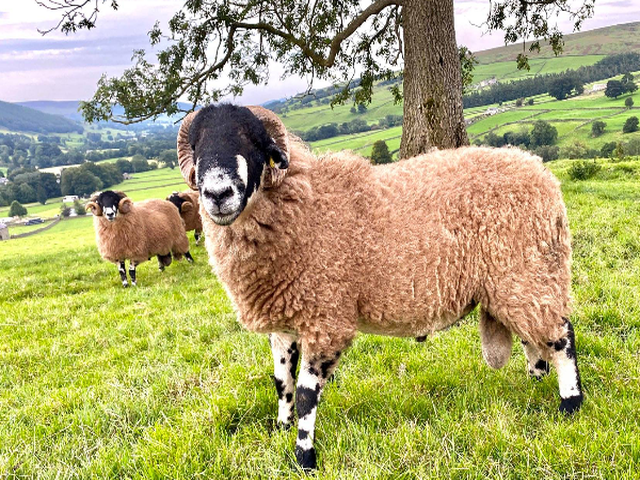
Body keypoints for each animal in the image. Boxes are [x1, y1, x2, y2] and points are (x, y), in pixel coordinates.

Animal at [176, 104, 582, 471]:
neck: (304, 207)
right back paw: (535, 383)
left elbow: (307, 393)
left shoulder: (327, 316)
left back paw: (570, 403)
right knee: (533, 335)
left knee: (561, 335)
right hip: (514, 282)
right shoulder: (285, 324)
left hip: (527, 269)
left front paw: (304, 457)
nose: (217, 193)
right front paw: (281, 428)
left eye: (254, 141)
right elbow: (282, 382)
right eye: (197, 145)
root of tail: (539, 169)